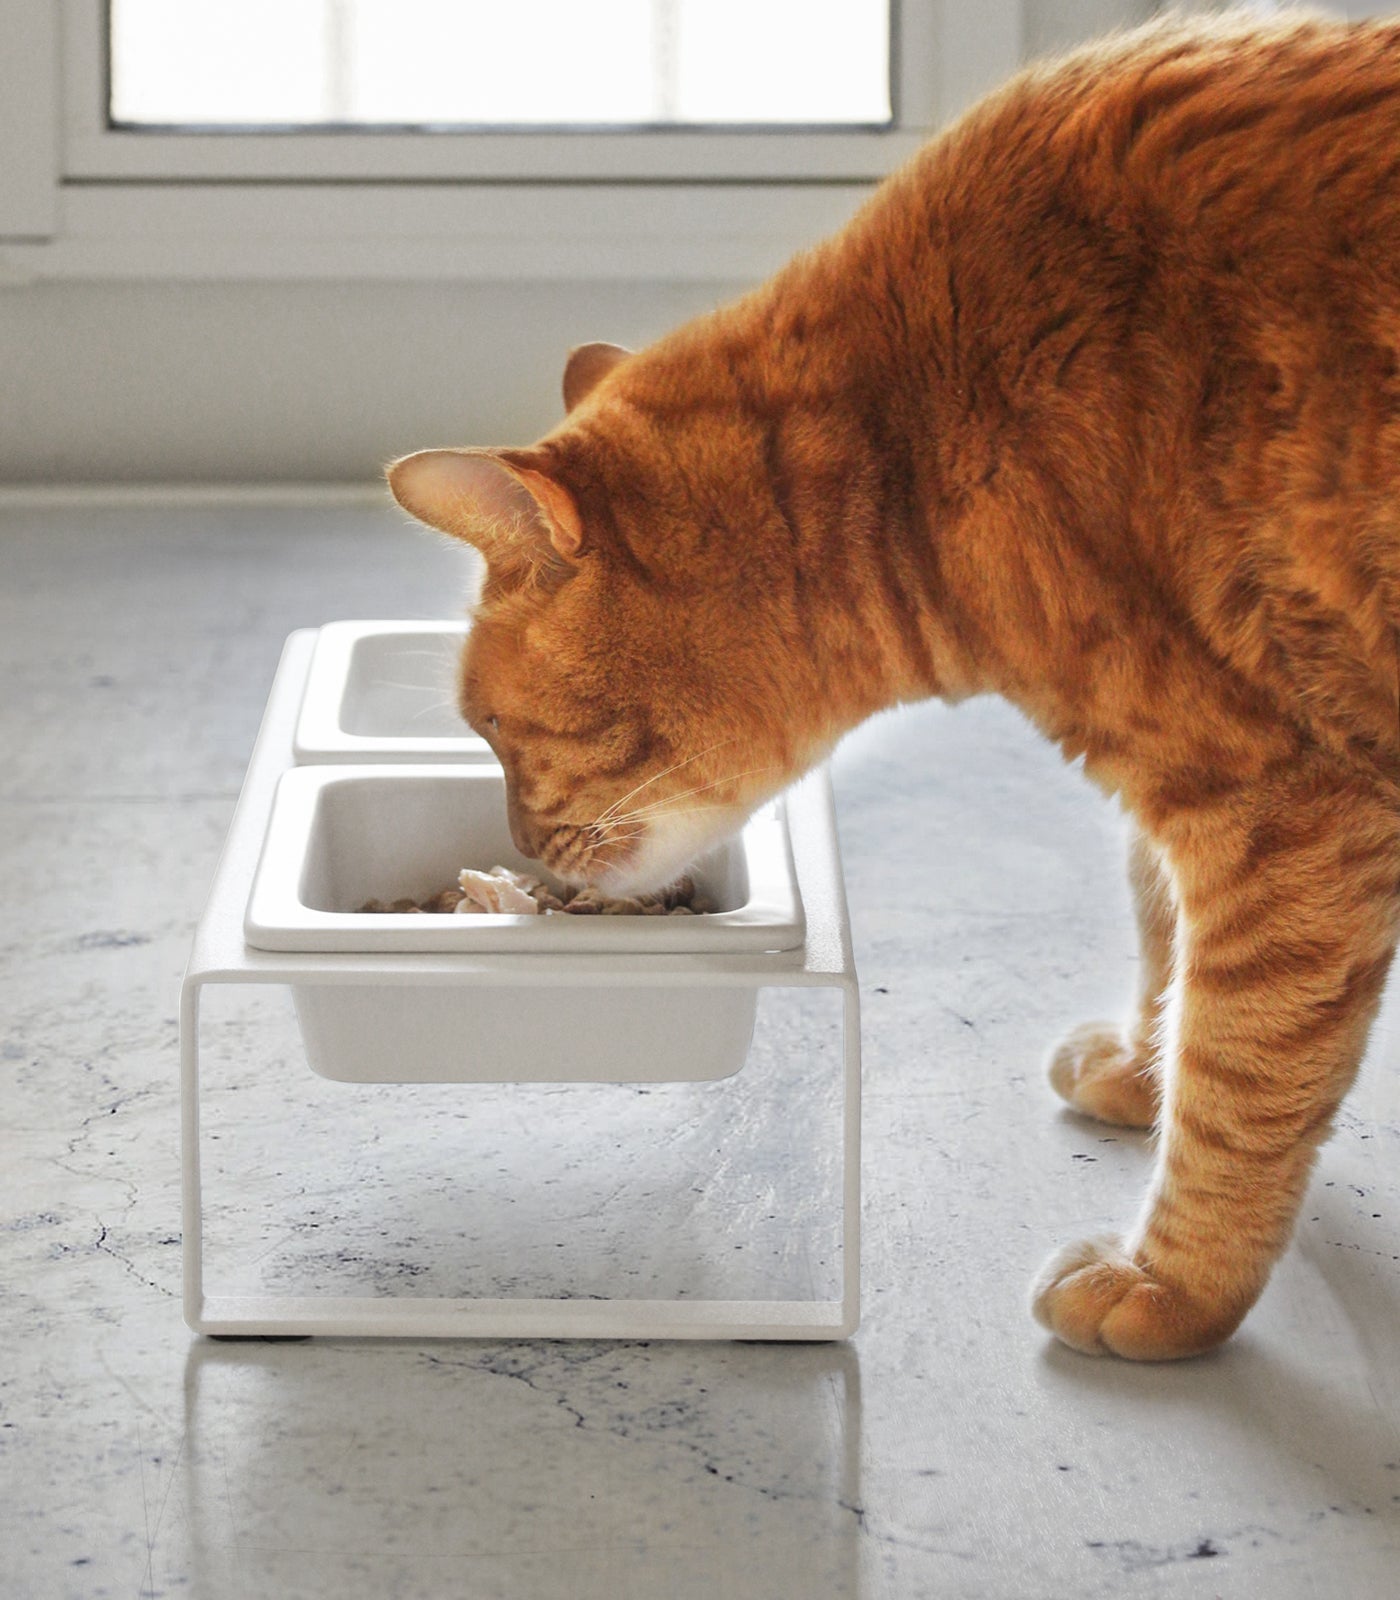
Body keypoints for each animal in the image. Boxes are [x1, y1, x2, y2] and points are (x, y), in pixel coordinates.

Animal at [388, 15, 1400, 1363]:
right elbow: (1162, 933)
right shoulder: (1195, 771)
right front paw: (1147, 1068)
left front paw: (1172, 1283)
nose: (518, 853)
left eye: (494, 729)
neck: (919, 429)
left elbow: (1240, 1070)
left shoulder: (1281, 805)